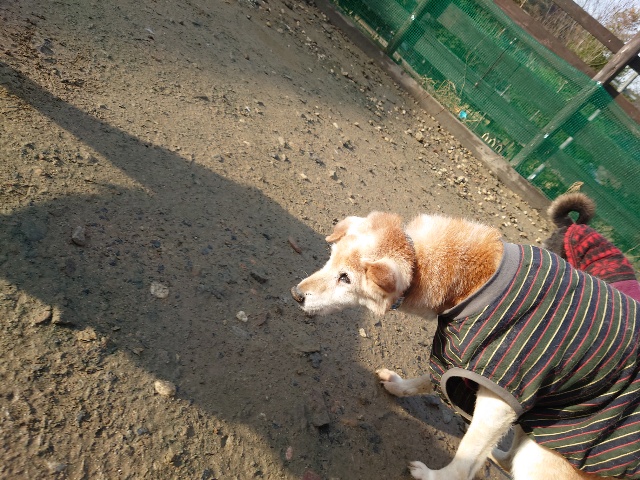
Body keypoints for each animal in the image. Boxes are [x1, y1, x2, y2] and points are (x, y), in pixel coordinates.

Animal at [291, 211, 640, 480]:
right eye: (330, 259)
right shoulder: (462, 358)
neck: (469, 283)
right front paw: (398, 386)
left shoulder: (503, 394)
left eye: (346, 279)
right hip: (536, 425)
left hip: (542, 456)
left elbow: (464, 463)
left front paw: (433, 476)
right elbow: (426, 380)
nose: (296, 295)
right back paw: (498, 455)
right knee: (510, 455)